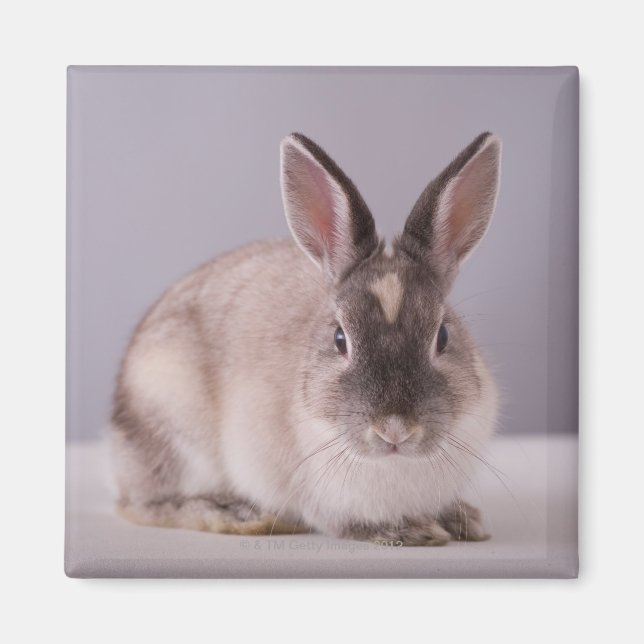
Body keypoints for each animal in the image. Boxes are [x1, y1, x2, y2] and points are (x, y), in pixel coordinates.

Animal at [111, 131, 501, 546]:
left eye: (442, 336)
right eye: (340, 339)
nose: (394, 429)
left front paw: (463, 520)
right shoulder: (318, 498)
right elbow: (345, 522)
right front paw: (412, 530)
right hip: (172, 429)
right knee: (144, 504)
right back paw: (238, 514)